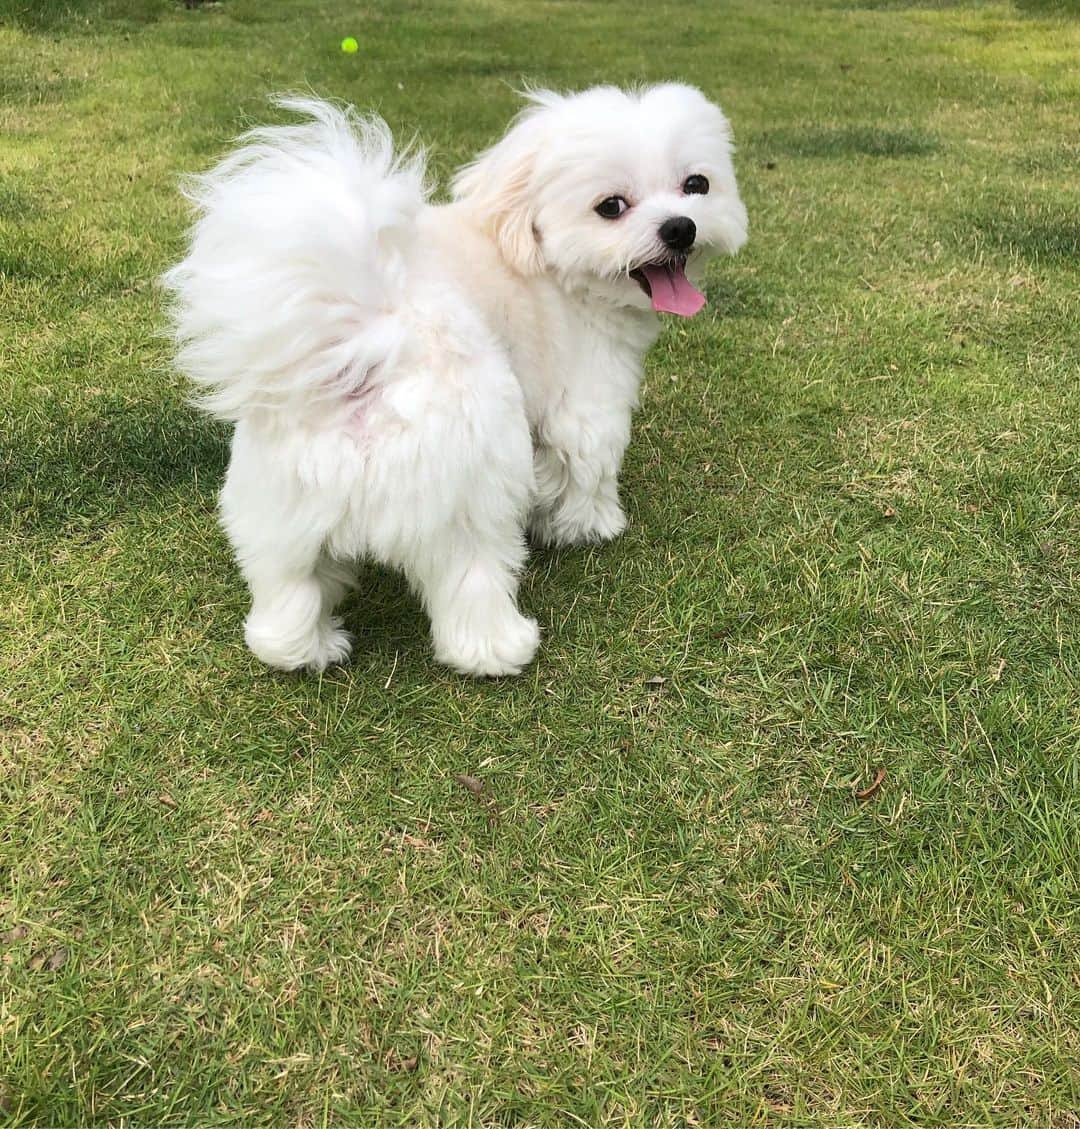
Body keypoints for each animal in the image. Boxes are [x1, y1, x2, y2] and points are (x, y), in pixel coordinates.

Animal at [164, 85, 744, 677]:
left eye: (695, 185)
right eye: (611, 206)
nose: (680, 227)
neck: (537, 255)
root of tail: (367, 344)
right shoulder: (587, 399)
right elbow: (585, 466)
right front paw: (591, 526)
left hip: (282, 507)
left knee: (288, 588)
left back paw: (307, 647)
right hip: (471, 492)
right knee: (471, 580)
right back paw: (499, 648)